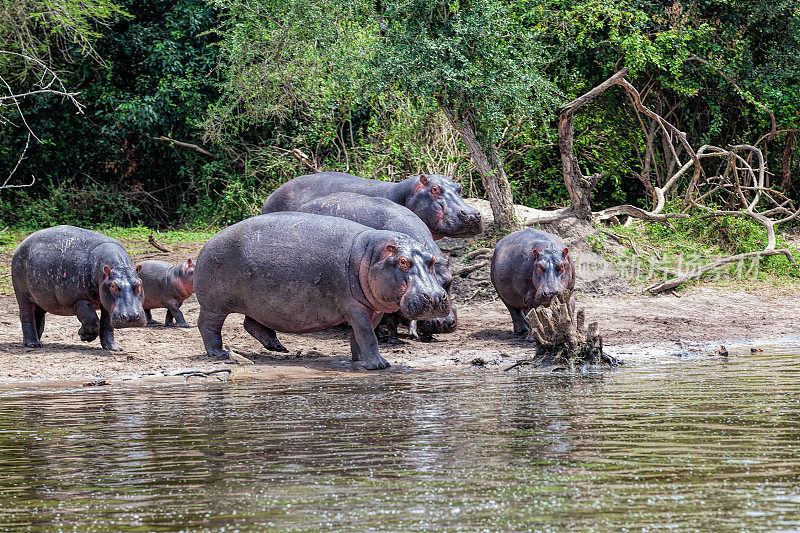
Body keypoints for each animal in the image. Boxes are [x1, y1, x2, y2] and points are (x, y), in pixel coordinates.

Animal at [11, 223, 148, 350]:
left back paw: (37, 341)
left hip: (41, 298)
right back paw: (33, 344)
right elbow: (92, 321)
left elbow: (107, 325)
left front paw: (114, 348)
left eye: (138, 284)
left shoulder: (108, 303)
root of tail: (21, 244)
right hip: (22, 294)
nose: (131, 316)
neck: (116, 267)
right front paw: (83, 335)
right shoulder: (78, 299)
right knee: (27, 315)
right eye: (113, 286)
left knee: (38, 314)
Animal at [194, 210, 450, 368]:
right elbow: (368, 336)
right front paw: (379, 365)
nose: (435, 297)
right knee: (208, 326)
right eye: (403, 262)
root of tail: (208, 242)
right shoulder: (356, 308)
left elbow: (359, 336)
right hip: (214, 304)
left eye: (431, 260)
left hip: (259, 302)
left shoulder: (372, 310)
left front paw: (359, 361)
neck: (370, 256)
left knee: (253, 323)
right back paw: (219, 354)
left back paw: (279, 347)